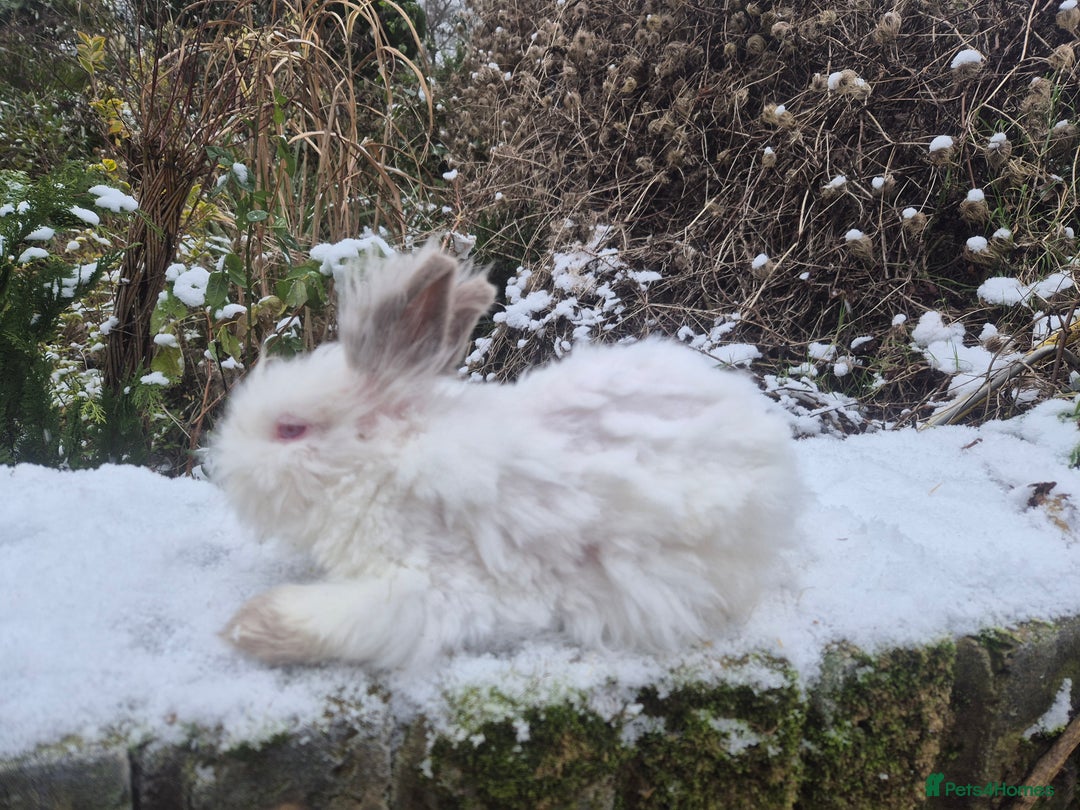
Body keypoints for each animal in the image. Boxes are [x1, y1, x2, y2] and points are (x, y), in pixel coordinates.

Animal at [211, 244, 801, 668]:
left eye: (290, 429)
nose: (224, 466)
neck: (381, 459)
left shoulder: (436, 588)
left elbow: (352, 619)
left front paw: (247, 626)